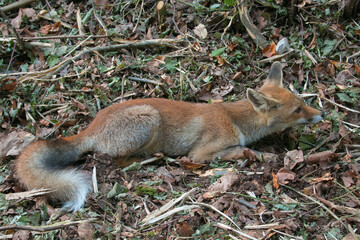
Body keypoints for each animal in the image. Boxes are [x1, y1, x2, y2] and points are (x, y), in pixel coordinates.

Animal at [14, 61, 324, 210]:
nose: (321, 113)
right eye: (298, 109)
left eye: (301, 102)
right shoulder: (200, 153)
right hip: (148, 117)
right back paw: (149, 161)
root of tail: (91, 126)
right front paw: (257, 155)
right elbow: (236, 151)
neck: (235, 118)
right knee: (114, 161)